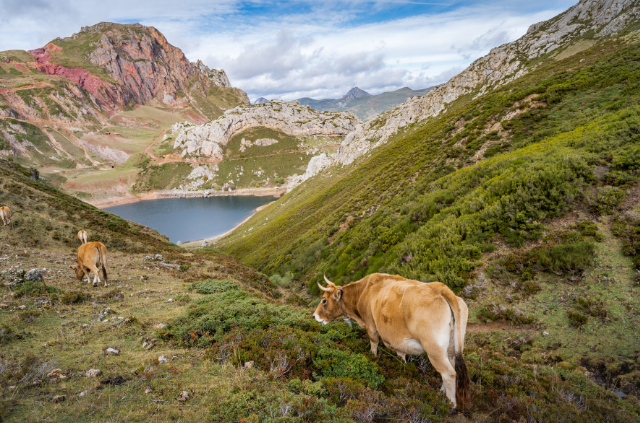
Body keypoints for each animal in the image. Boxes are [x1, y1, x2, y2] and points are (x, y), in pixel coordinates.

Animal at [314, 274, 470, 410]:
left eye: (324, 300)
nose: (314, 316)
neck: (362, 292)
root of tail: (440, 288)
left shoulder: (371, 325)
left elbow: (374, 342)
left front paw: (373, 357)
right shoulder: (397, 340)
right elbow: (401, 356)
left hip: (434, 349)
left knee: (449, 373)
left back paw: (450, 404)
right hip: (451, 347)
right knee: (451, 366)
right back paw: (441, 392)